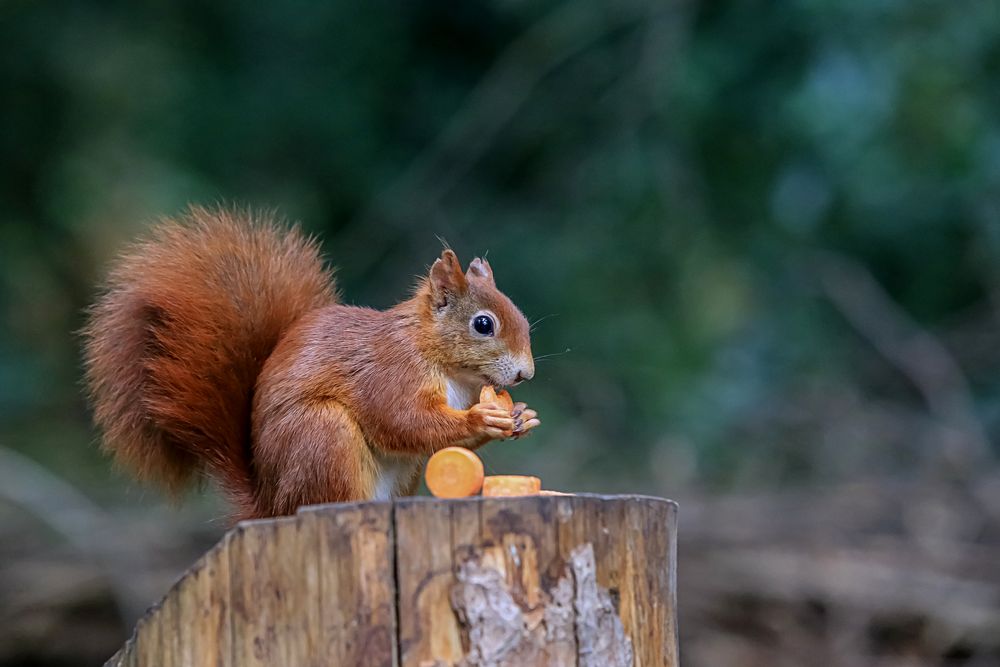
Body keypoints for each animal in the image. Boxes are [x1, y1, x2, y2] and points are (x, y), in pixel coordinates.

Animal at [80, 206, 540, 520]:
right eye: (483, 324)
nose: (526, 374)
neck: (450, 371)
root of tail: (270, 507)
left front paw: (520, 415)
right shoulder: (390, 371)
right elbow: (402, 421)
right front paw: (483, 418)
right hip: (321, 436)